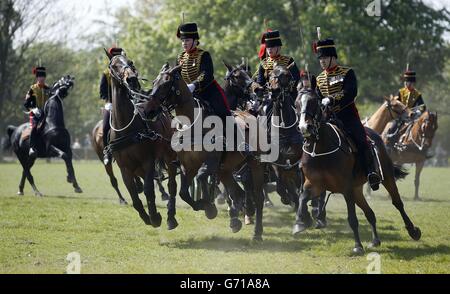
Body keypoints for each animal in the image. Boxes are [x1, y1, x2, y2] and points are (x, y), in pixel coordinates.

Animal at [107, 54, 179, 230]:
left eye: (130, 62)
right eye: (114, 65)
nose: (132, 79)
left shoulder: (148, 161)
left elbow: (148, 190)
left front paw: (155, 217)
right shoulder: (125, 168)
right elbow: (134, 196)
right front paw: (146, 217)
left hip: (169, 157)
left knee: (172, 185)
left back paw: (171, 217)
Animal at [146, 63, 268, 240]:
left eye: (165, 84)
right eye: (155, 82)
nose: (148, 111)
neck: (193, 126)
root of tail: (252, 116)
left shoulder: (210, 164)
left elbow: (202, 177)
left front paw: (210, 207)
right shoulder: (188, 167)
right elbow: (184, 192)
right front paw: (207, 207)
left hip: (255, 164)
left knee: (258, 196)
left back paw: (257, 231)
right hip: (226, 170)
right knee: (236, 192)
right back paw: (236, 220)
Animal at [296, 86, 422, 254]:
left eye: (314, 102)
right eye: (296, 104)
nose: (305, 127)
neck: (321, 148)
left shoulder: (346, 188)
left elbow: (352, 219)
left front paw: (357, 246)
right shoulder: (315, 185)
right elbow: (302, 197)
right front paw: (300, 222)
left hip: (386, 177)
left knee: (397, 203)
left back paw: (413, 231)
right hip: (357, 189)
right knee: (370, 213)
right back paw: (375, 240)